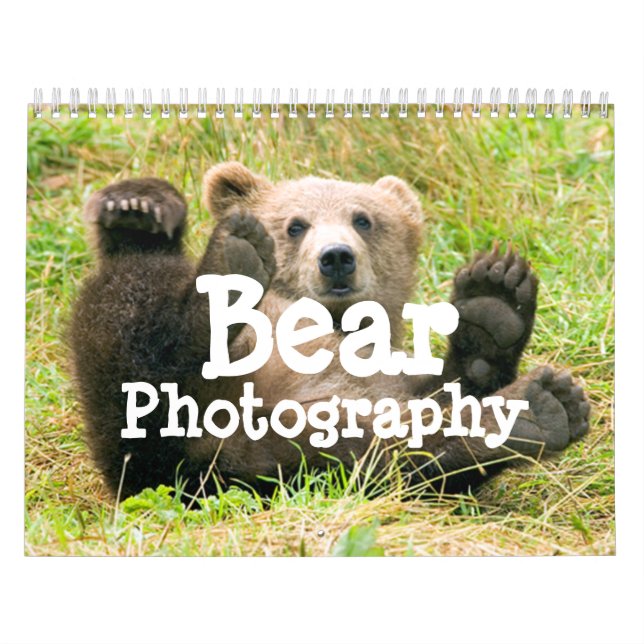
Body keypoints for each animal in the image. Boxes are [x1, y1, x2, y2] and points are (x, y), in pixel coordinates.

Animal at [69, 163, 590, 499]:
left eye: (363, 219)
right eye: (296, 224)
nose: (336, 257)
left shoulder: (385, 375)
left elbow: (444, 392)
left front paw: (494, 300)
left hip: (273, 457)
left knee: (386, 455)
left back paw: (535, 405)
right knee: (133, 316)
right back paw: (161, 223)